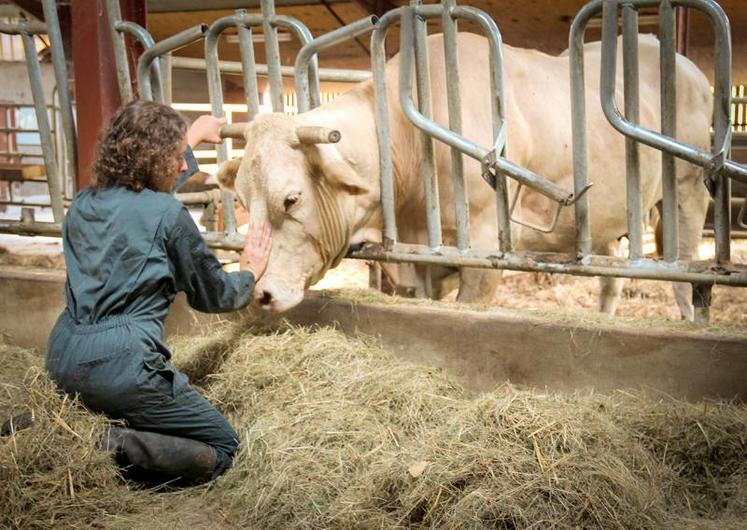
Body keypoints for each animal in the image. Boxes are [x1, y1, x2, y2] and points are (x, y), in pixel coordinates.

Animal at [218, 33, 712, 316]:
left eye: (291, 199)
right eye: (241, 200)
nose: (259, 293)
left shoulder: (484, 248)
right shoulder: (419, 261)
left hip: (688, 195)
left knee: (686, 279)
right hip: (604, 223)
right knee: (612, 279)